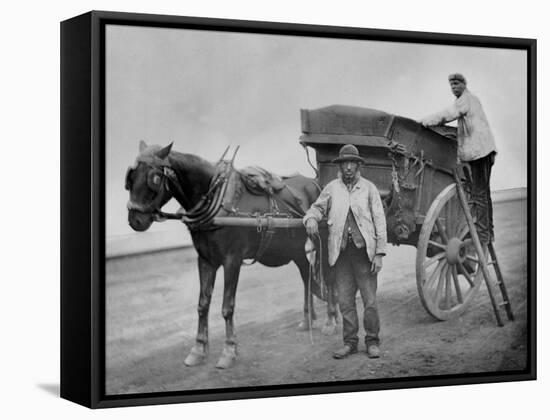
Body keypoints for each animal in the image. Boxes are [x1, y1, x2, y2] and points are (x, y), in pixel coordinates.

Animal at [126, 141, 338, 368]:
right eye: (130, 178)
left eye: (154, 178)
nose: (134, 220)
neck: (216, 201)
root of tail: (316, 183)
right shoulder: (205, 260)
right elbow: (202, 305)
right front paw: (198, 349)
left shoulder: (232, 261)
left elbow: (227, 307)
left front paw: (229, 351)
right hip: (294, 248)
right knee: (306, 275)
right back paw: (307, 320)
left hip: (323, 241)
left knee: (328, 277)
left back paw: (331, 319)